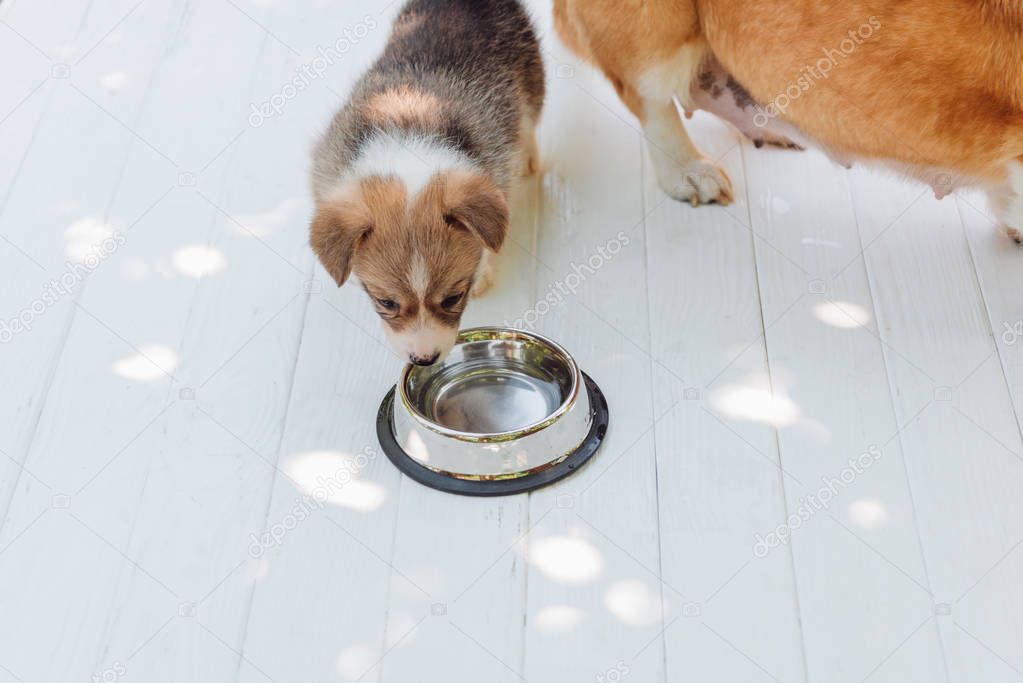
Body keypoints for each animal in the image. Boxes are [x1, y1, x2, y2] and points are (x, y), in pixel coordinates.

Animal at [310, 0, 548, 366]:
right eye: (387, 302)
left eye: (453, 298)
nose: (424, 359)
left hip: (532, 75)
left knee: (529, 118)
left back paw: (529, 158)